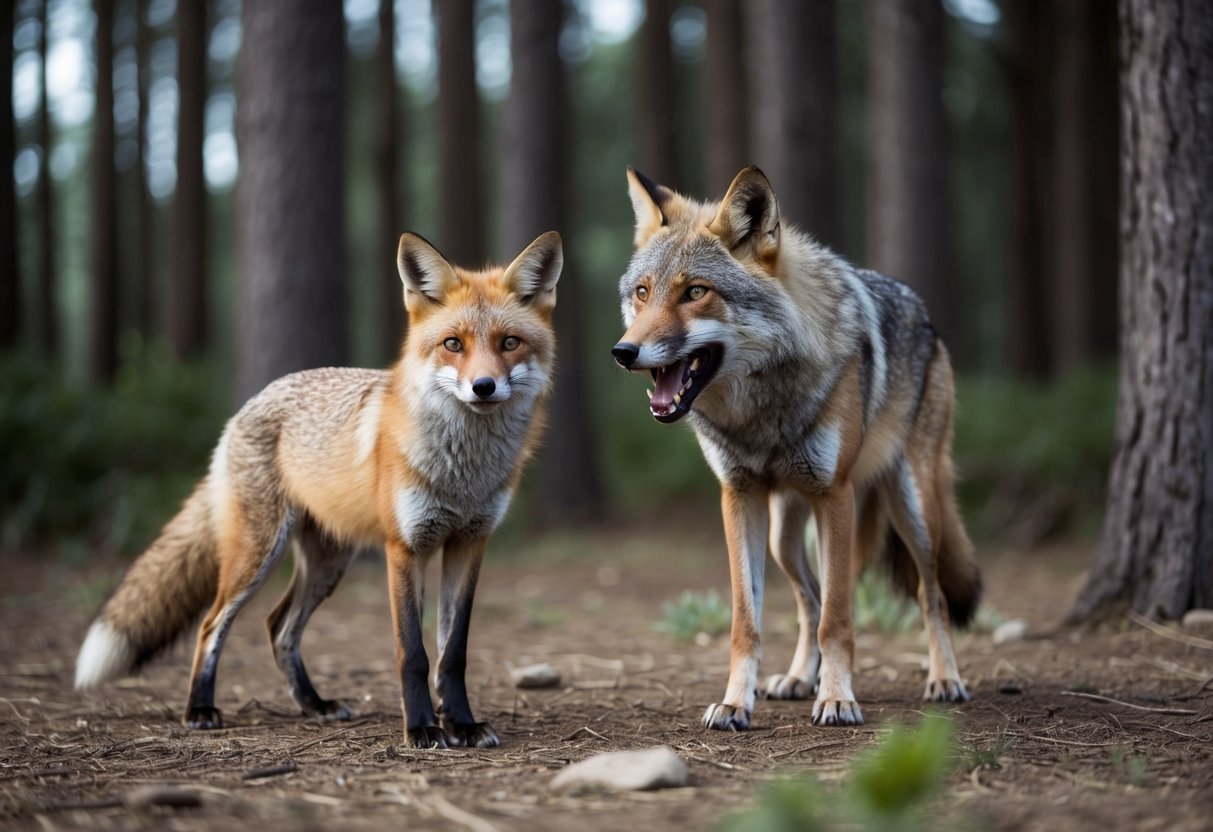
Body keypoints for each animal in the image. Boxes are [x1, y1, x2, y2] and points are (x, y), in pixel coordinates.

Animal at [74, 231, 563, 748]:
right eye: (453, 344)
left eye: (509, 343)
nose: (483, 387)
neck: (464, 474)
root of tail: (251, 403)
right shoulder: (404, 548)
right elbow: (413, 654)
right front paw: (422, 727)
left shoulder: (469, 543)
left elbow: (453, 653)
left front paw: (462, 725)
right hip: (257, 553)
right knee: (212, 624)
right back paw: (200, 709)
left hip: (328, 562)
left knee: (278, 626)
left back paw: (314, 704)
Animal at [611, 165, 981, 730]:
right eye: (642, 292)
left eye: (695, 291)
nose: (623, 351)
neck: (760, 415)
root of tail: (926, 317)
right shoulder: (738, 497)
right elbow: (749, 622)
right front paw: (736, 702)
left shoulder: (835, 495)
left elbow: (839, 619)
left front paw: (838, 698)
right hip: (784, 536)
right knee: (809, 598)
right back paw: (799, 678)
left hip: (911, 509)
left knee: (928, 593)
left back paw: (944, 679)